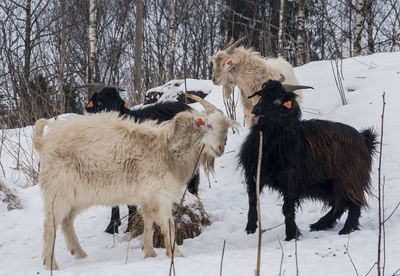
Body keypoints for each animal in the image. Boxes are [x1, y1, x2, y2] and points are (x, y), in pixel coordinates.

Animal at [239, 79, 376, 239]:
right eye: (262, 95)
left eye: (277, 100)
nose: (256, 110)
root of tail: (365, 140)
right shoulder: (254, 175)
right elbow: (252, 200)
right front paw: (250, 227)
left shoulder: (291, 180)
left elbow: (287, 208)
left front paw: (291, 235)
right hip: (327, 183)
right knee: (340, 203)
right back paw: (320, 224)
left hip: (349, 178)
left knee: (354, 203)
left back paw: (346, 229)